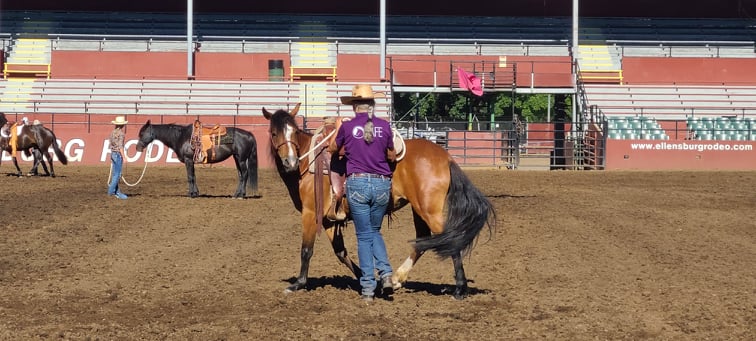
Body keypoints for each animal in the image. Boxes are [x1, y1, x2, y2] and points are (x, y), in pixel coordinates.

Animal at [262, 103, 496, 298]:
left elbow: (306, 250)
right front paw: (368, 279)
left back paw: (459, 288)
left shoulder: (311, 213)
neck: (308, 163)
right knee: (423, 241)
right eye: (274, 133)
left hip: (429, 211)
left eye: (293, 131)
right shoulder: (328, 220)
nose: (290, 162)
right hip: (419, 209)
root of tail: (446, 157)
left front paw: (298, 283)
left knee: (451, 241)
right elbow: (340, 252)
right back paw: (397, 278)